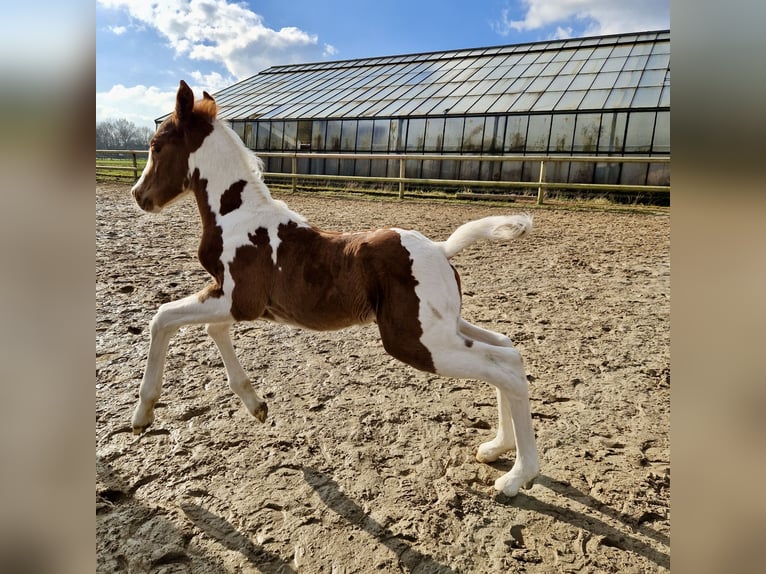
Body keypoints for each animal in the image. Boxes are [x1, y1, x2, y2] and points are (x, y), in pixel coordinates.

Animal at [129, 80, 540, 497]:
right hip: (445, 327)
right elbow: (212, 330)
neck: (238, 218)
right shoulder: (234, 302)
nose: (138, 195)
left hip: (419, 342)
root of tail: (441, 249)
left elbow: (162, 319)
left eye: (156, 145)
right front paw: (256, 405)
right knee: (507, 351)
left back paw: (517, 476)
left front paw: (142, 414)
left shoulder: (239, 299)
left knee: (503, 367)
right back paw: (496, 447)